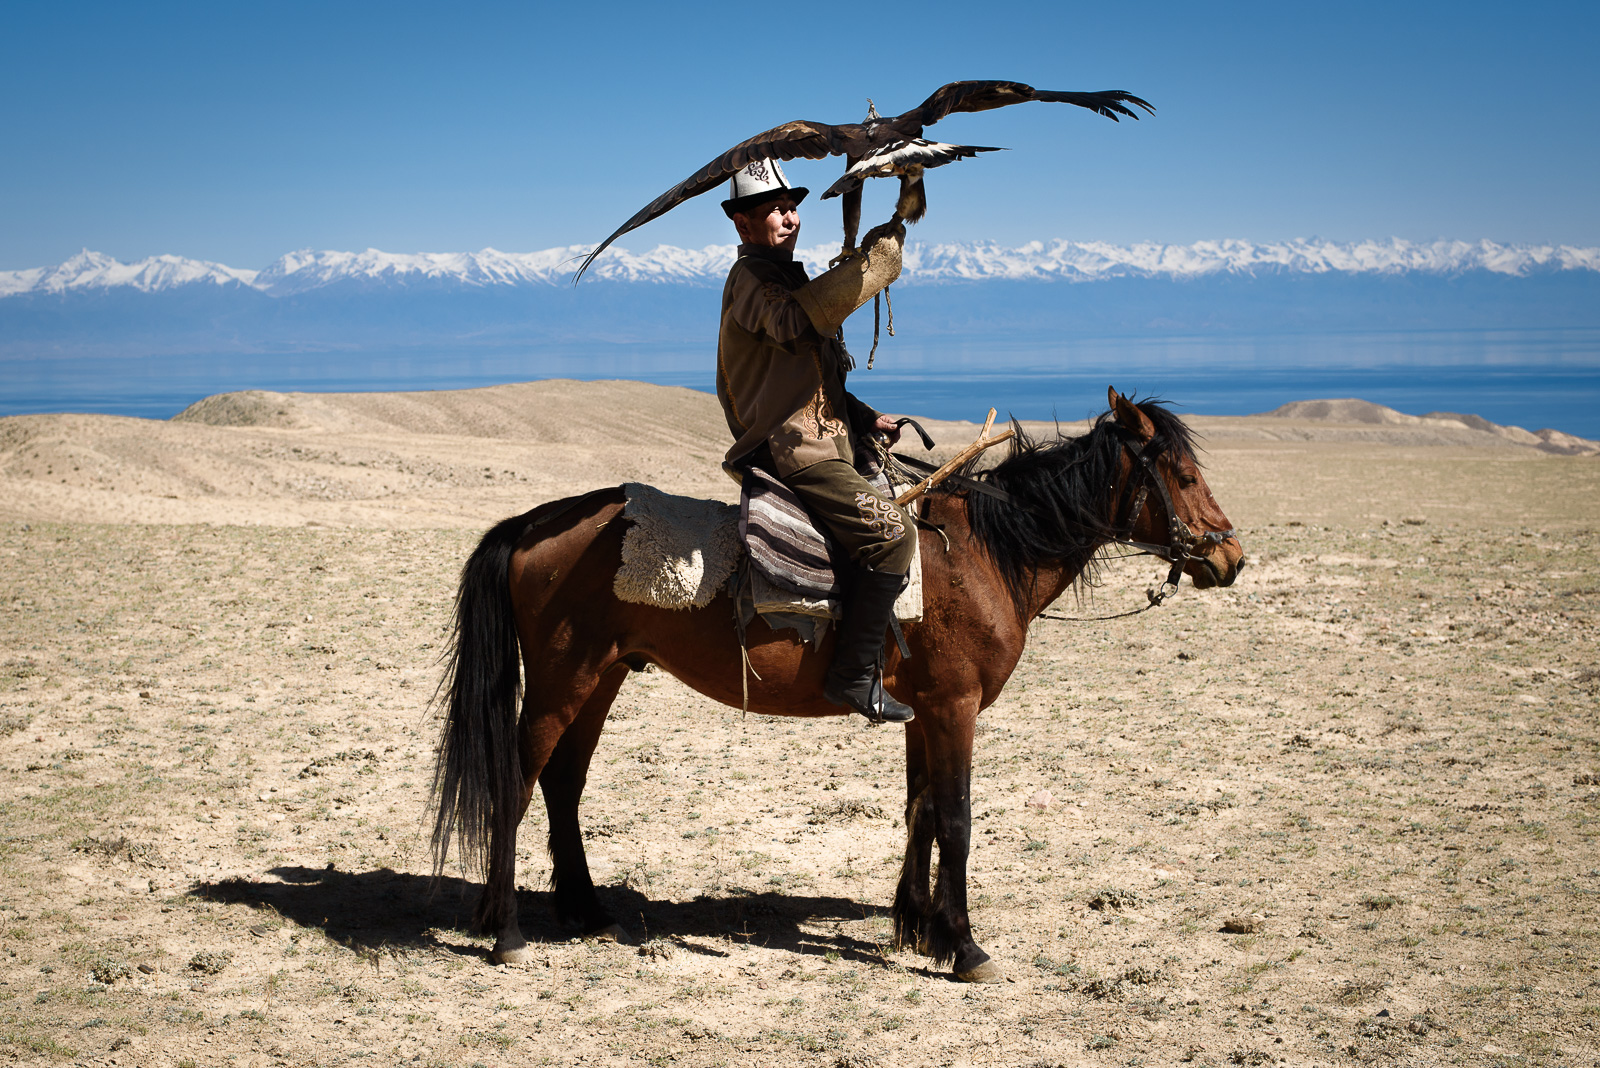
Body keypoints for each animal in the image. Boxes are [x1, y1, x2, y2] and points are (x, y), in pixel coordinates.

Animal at [432, 388, 1241, 978]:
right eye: (1185, 476)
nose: (1229, 558)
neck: (986, 553)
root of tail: (532, 524)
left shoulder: (922, 710)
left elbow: (920, 810)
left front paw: (917, 925)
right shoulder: (956, 707)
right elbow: (956, 818)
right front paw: (964, 945)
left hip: (599, 679)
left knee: (563, 784)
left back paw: (588, 911)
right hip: (561, 681)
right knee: (515, 783)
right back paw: (506, 931)